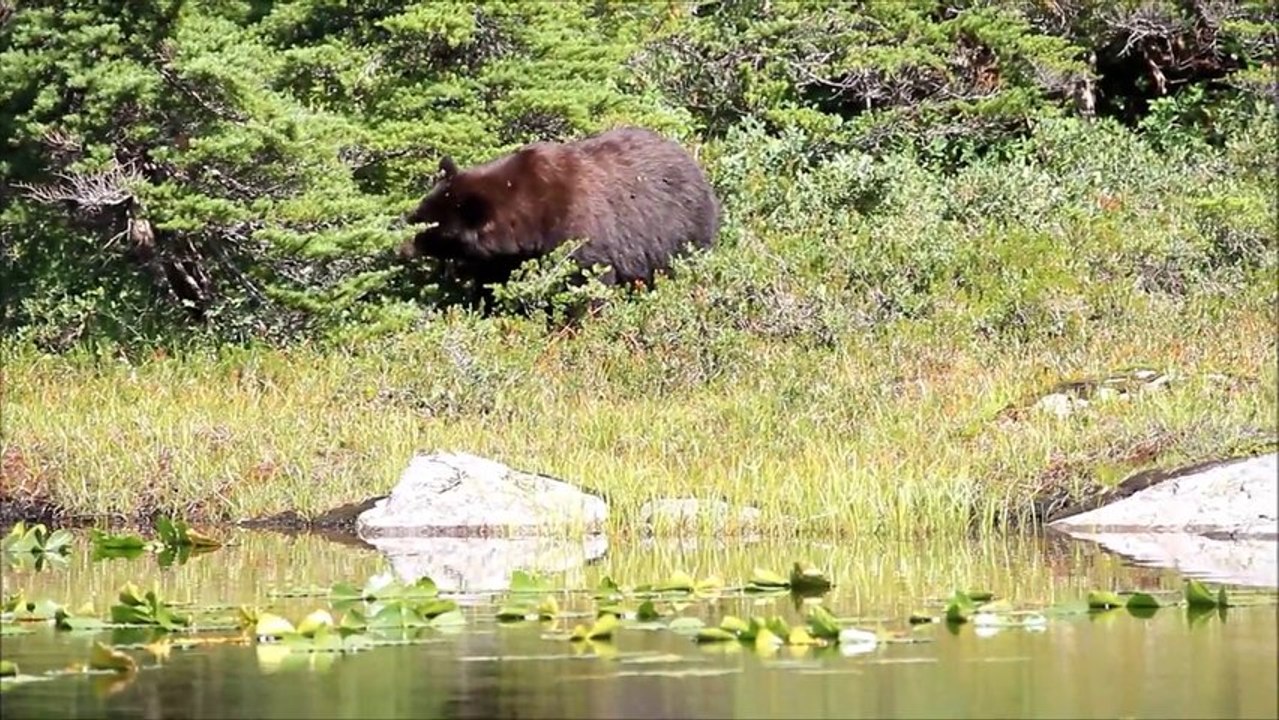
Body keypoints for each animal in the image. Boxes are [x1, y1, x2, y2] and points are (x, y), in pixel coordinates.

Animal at [398, 126, 721, 313]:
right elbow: (492, 283)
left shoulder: (580, 231)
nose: (400, 248)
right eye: (417, 215)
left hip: (680, 229)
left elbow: (587, 281)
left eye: (430, 227)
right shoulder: (505, 259)